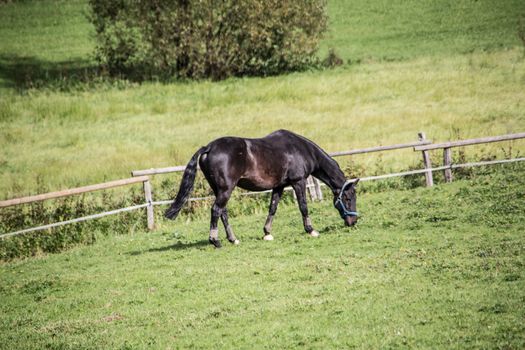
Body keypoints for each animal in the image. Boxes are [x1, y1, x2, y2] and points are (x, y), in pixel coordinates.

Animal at [166, 130, 358, 247]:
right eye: (348, 198)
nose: (353, 222)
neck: (300, 150)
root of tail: (209, 147)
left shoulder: (279, 186)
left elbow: (272, 208)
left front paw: (267, 233)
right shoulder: (299, 182)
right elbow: (303, 206)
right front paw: (311, 230)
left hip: (219, 189)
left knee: (223, 212)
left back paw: (233, 239)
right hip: (226, 189)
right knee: (216, 210)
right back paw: (216, 241)